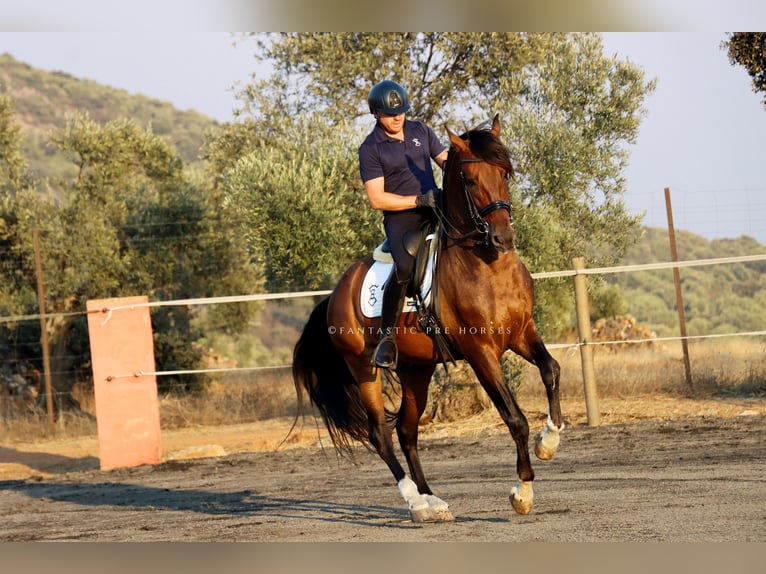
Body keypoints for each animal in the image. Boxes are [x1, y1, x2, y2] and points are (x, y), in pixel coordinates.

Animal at [292, 114, 564, 522]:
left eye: (505, 172)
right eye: (470, 180)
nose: (503, 238)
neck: (487, 264)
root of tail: (335, 293)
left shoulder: (521, 333)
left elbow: (551, 370)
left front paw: (549, 440)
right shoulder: (480, 352)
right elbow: (514, 417)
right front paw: (523, 492)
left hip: (416, 368)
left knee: (407, 430)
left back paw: (432, 499)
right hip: (363, 367)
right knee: (380, 434)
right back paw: (416, 502)